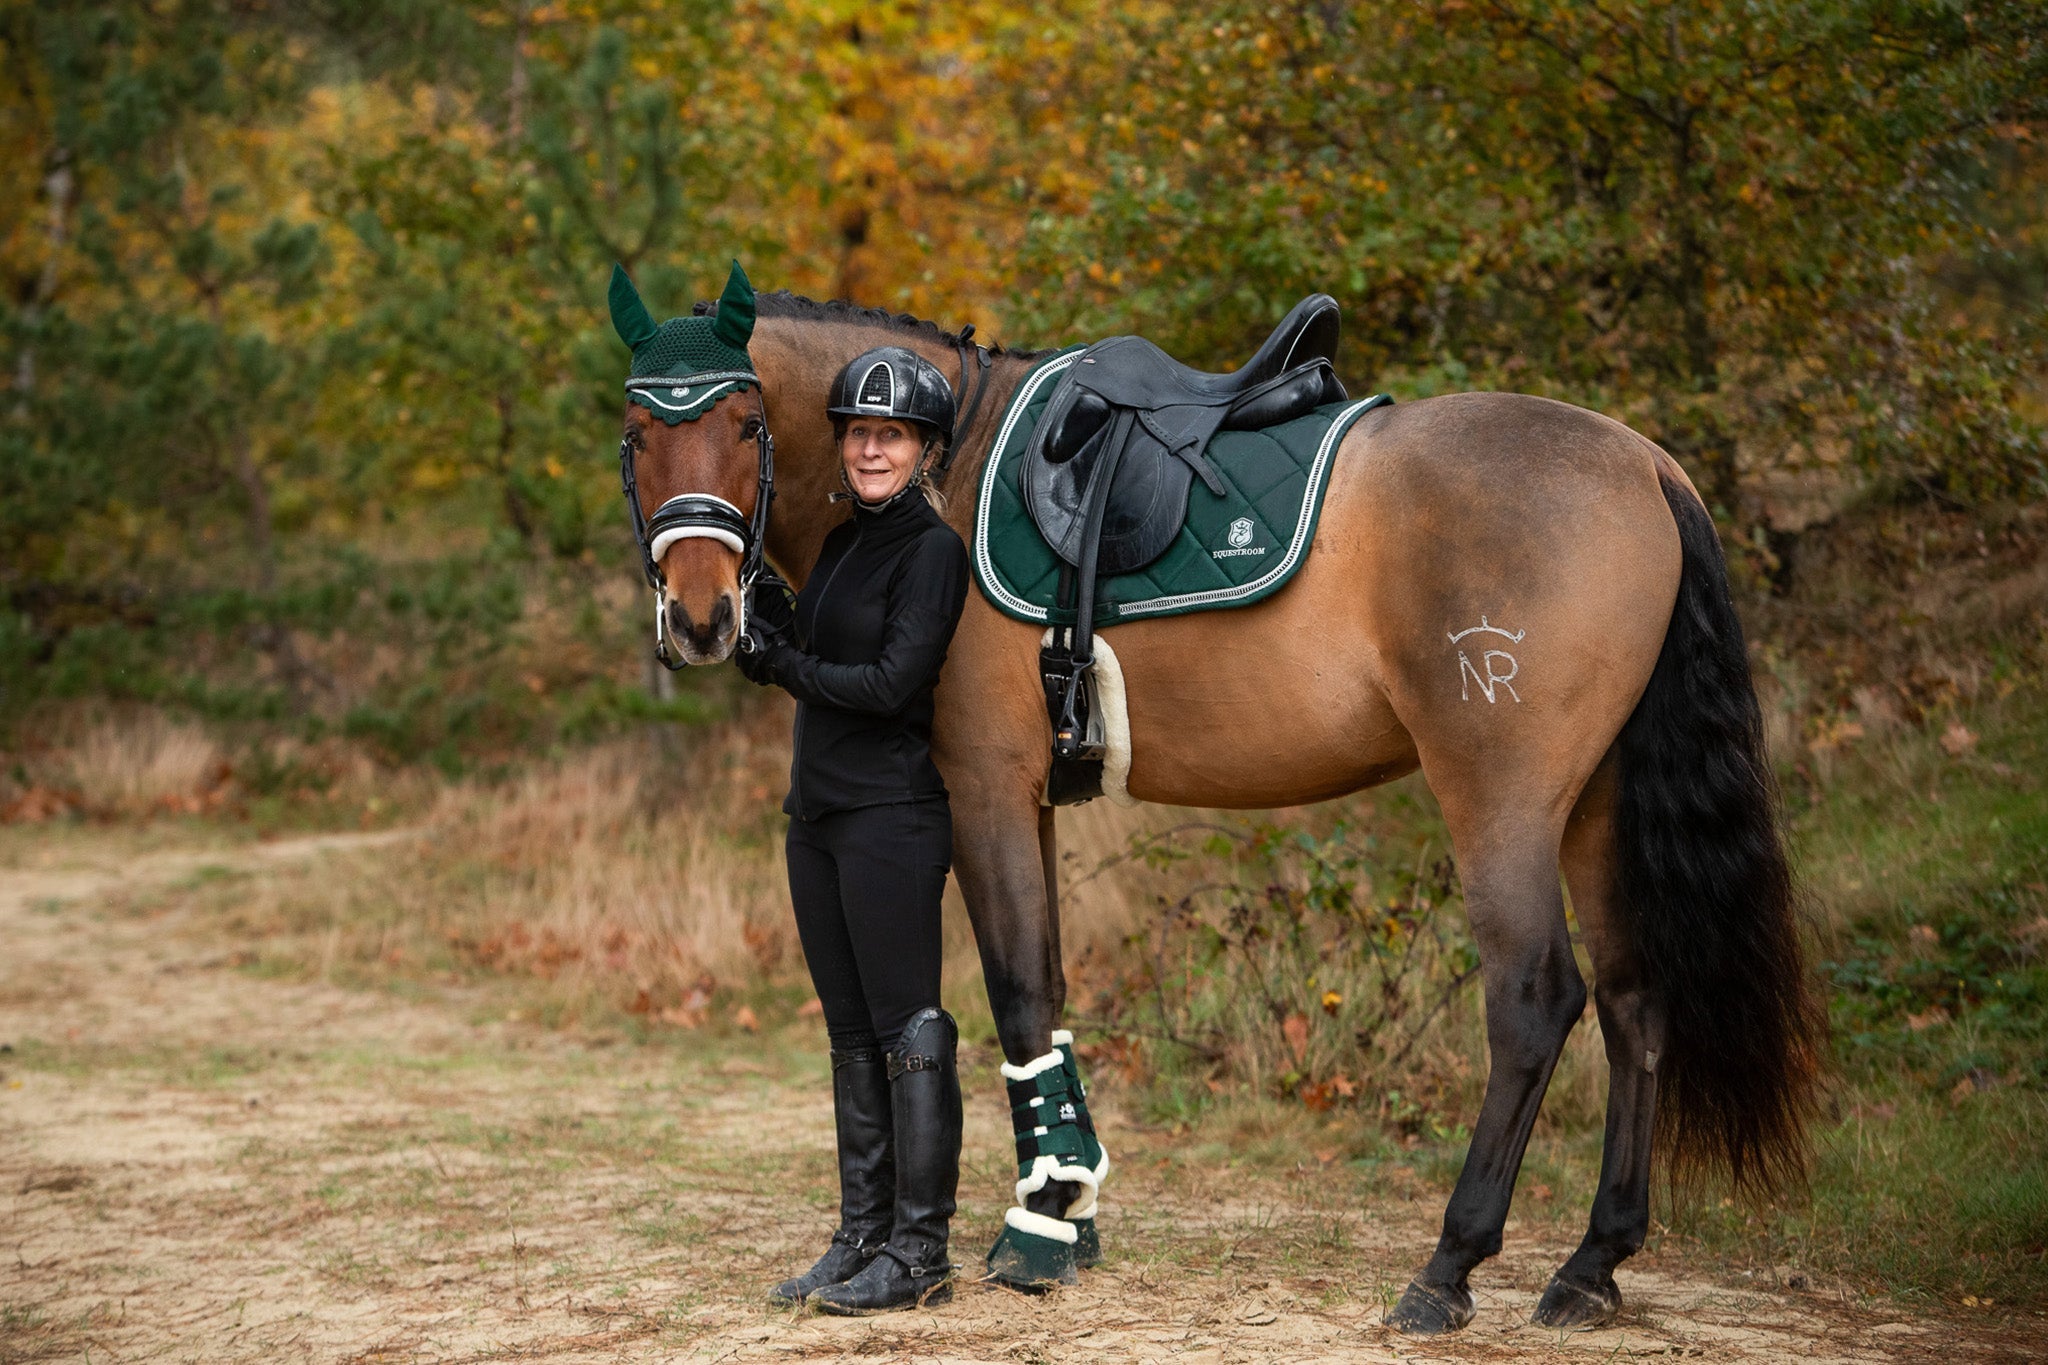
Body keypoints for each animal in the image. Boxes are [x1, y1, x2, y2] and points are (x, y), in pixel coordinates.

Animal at [616, 282, 1821, 1334]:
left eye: (743, 421)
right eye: (635, 434)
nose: (703, 618)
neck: (944, 469)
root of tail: (1644, 463)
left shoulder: (984, 783)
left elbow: (1016, 992)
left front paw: (1036, 1234)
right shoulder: (1032, 797)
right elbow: (1048, 987)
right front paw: (1069, 1210)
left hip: (1503, 801)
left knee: (1534, 1000)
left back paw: (1449, 1267)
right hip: (1596, 805)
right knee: (1633, 999)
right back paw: (1590, 1264)